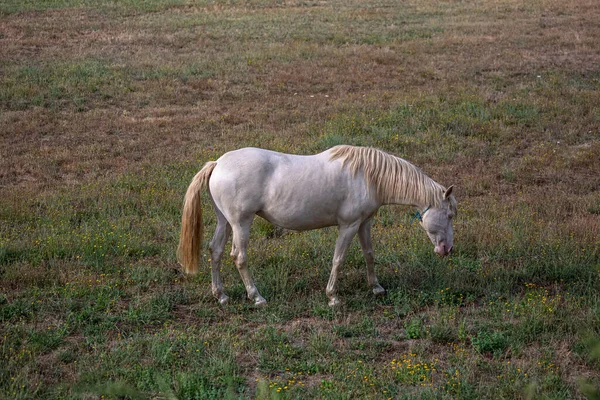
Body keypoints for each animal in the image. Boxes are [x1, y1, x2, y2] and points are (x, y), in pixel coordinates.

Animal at [177, 146, 454, 306]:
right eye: (450, 214)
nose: (447, 249)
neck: (368, 176)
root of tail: (217, 164)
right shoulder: (349, 225)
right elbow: (338, 259)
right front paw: (333, 297)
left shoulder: (364, 223)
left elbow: (369, 254)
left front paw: (376, 288)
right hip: (241, 223)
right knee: (239, 257)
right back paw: (256, 297)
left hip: (225, 222)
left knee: (215, 251)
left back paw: (221, 295)